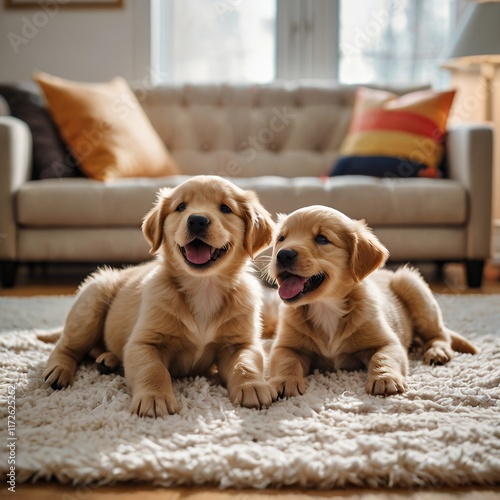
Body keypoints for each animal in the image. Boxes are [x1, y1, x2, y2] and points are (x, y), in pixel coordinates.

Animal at [43, 176, 278, 418]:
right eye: (181, 207)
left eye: (225, 208)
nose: (197, 220)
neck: (203, 287)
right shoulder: (145, 342)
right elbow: (152, 368)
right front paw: (155, 398)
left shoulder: (241, 343)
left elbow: (246, 364)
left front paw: (253, 386)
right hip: (91, 303)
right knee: (66, 346)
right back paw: (58, 370)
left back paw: (108, 359)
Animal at [268, 204, 478, 398]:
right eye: (281, 238)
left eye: (322, 239)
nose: (283, 254)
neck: (326, 307)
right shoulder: (285, 346)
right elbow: (286, 360)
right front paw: (284, 381)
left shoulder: (389, 342)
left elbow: (382, 356)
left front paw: (384, 378)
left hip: (412, 286)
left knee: (440, 335)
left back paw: (436, 351)